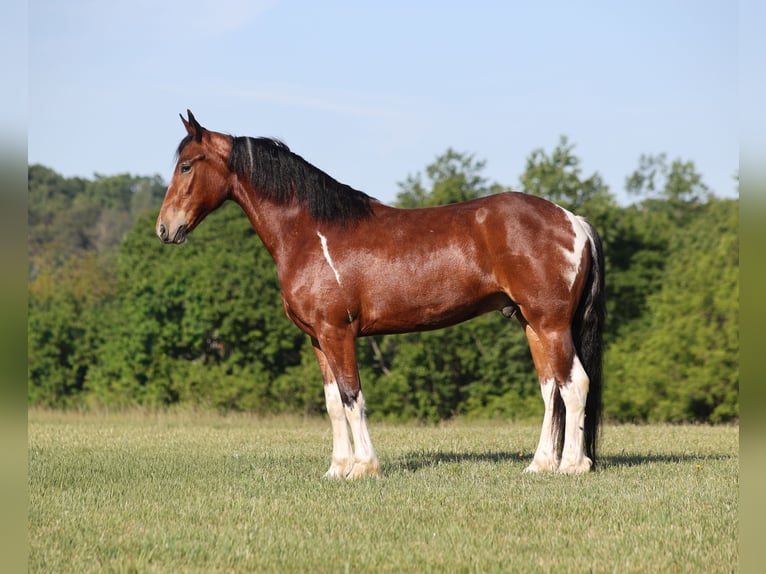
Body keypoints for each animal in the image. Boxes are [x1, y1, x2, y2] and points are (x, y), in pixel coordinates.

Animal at [157, 111, 606, 477]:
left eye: (186, 165)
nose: (164, 228)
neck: (311, 232)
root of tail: (574, 221)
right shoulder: (318, 340)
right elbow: (333, 403)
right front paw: (337, 469)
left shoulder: (338, 333)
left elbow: (352, 396)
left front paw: (364, 467)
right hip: (532, 324)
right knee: (551, 390)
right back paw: (540, 464)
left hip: (551, 324)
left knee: (574, 385)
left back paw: (572, 465)